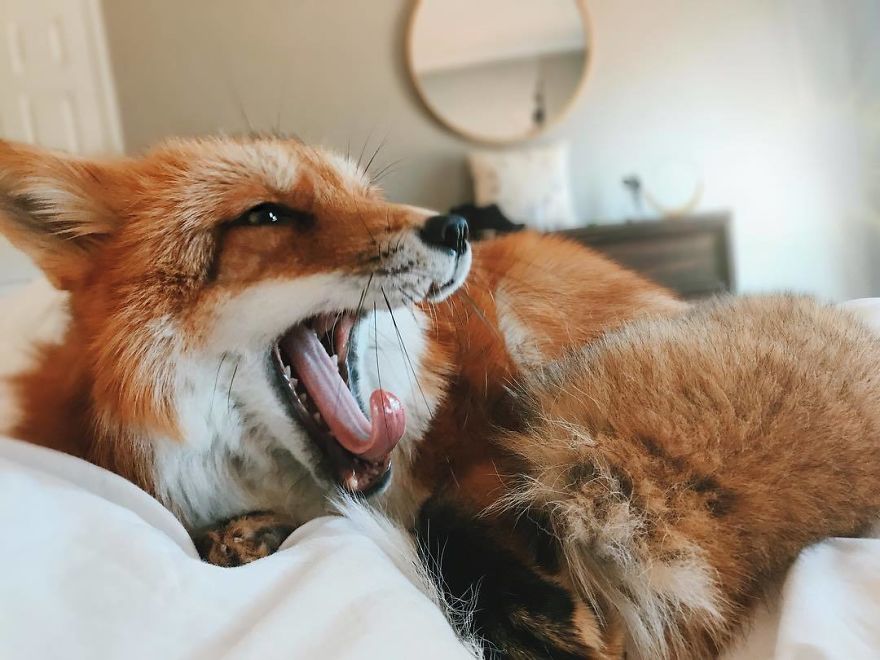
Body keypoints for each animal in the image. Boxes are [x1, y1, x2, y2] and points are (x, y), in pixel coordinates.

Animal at [2, 136, 880, 659]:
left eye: (365, 195)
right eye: (268, 213)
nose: (455, 228)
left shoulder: (498, 449)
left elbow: (442, 514)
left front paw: (538, 611)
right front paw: (240, 536)